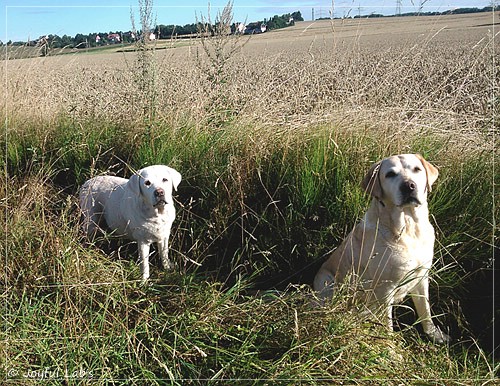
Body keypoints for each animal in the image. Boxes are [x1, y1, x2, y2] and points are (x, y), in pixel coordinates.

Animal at [312, 154, 450, 344]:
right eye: (390, 174)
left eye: (417, 169)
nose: (409, 186)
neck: (408, 228)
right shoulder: (385, 288)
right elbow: (387, 324)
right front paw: (390, 346)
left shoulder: (422, 276)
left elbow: (426, 310)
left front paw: (435, 335)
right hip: (327, 283)